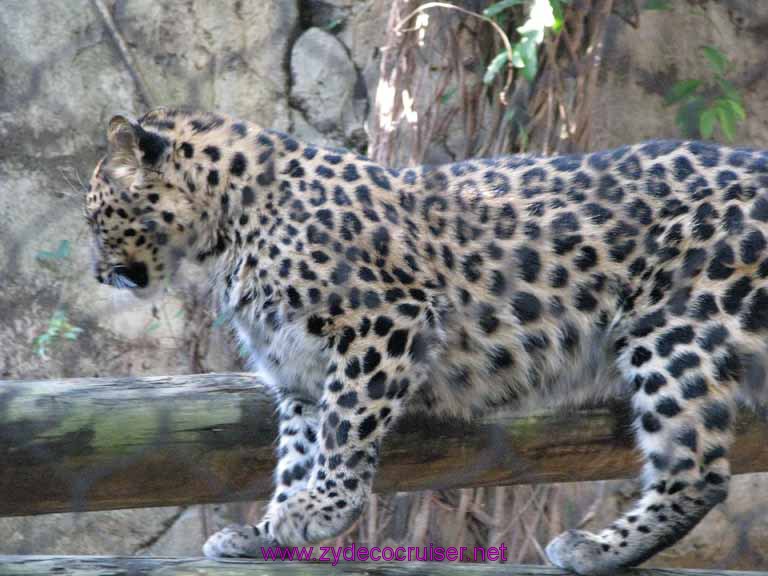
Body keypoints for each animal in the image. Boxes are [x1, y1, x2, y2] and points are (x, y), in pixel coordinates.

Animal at [82, 106, 768, 572]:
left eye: (95, 216)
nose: (95, 271)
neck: (225, 229)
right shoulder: (297, 371)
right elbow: (298, 449)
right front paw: (268, 529)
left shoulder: (385, 320)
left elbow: (344, 429)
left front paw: (320, 510)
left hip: (675, 329)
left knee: (698, 470)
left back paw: (596, 549)